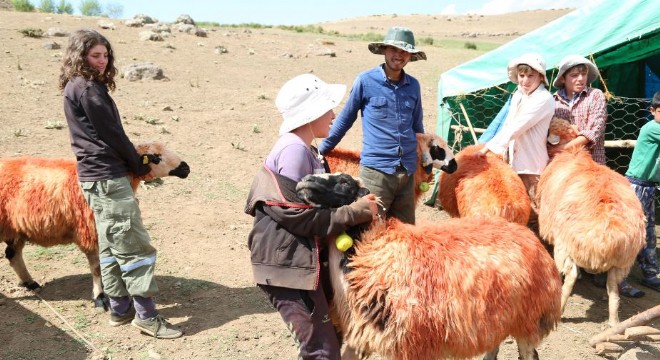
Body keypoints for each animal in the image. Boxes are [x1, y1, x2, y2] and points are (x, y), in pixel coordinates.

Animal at [0, 142, 191, 310]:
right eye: (156, 157)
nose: (186, 168)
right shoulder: (90, 231)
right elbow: (97, 268)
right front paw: (100, 297)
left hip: (15, 230)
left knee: (13, 255)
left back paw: (30, 283)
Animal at [298, 173, 564, 358]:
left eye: (344, 182)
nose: (303, 182)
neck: (373, 250)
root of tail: (533, 239)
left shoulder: (414, 344)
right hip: (499, 320)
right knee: (493, 349)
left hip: (530, 320)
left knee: (529, 354)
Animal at [536, 118, 644, 326]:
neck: (571, 153)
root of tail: (609, 234)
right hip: (621, 262)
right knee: (613, 289)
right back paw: (614, 322)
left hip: (566, 244)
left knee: (570, 276)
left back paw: (560, 309)